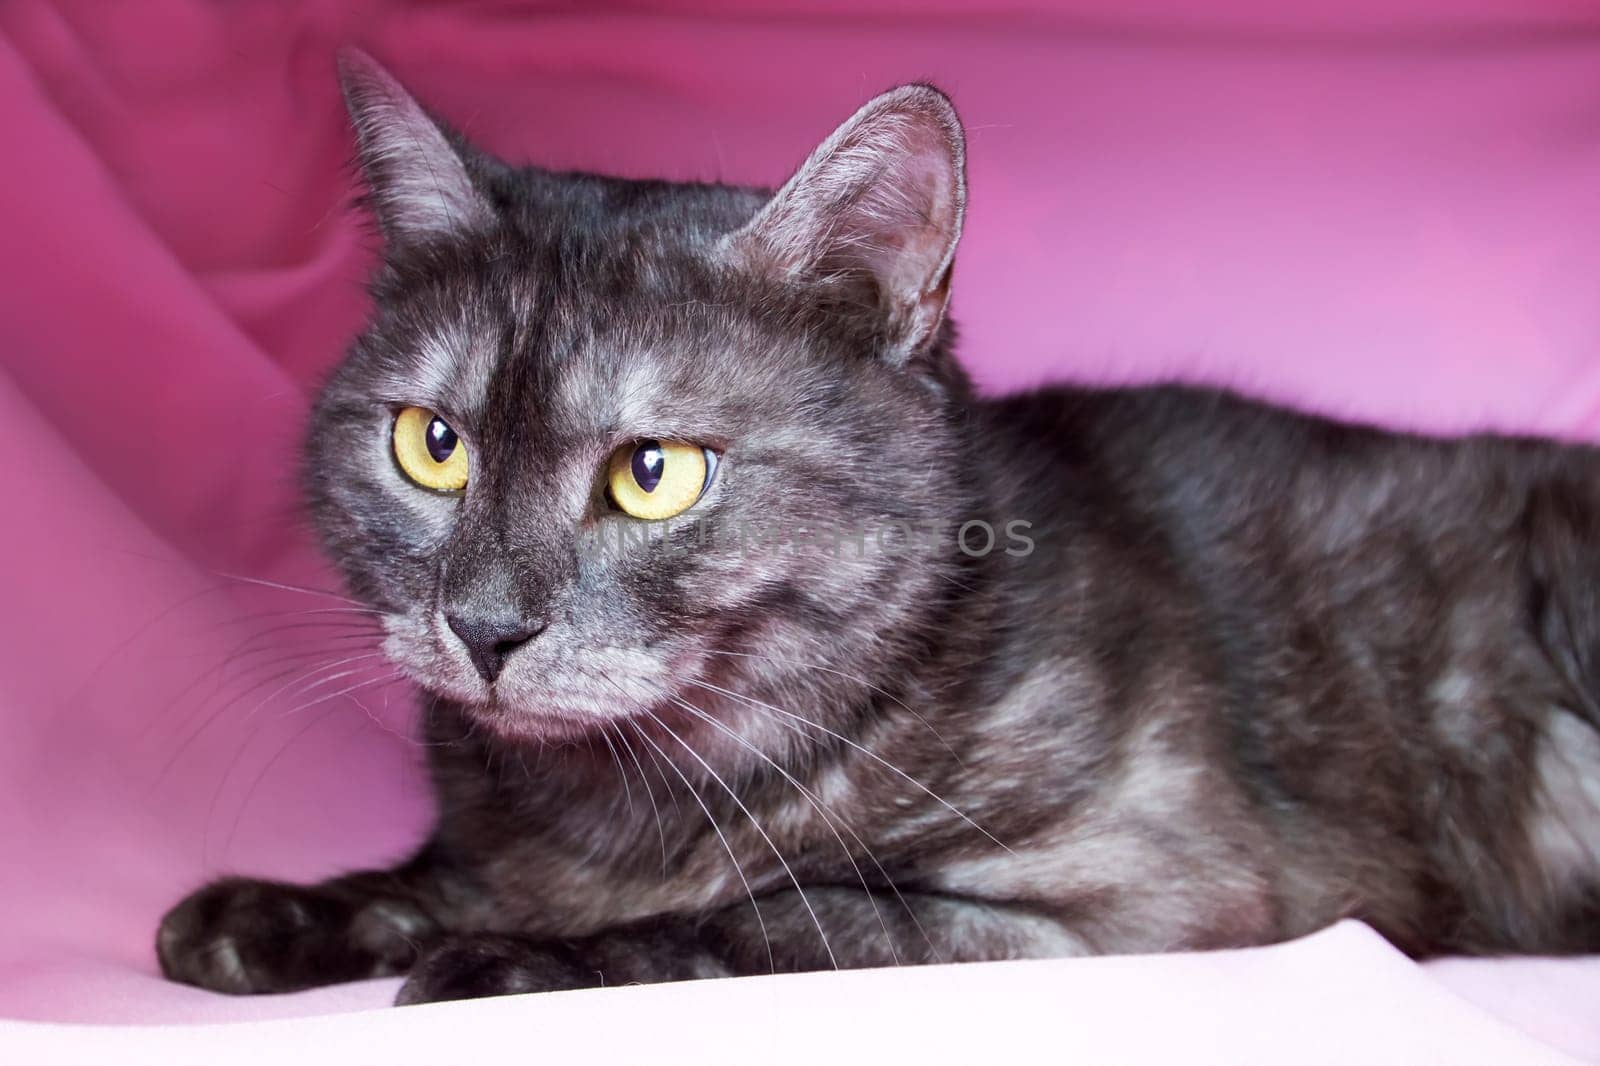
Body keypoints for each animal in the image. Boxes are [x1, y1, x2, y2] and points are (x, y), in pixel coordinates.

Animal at [156, 47, 1600, 998]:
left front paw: (512, 957)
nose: (484, 626)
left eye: (654, 472)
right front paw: (286, 911)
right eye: (431, 446)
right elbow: (449, 870)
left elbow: (788, 915)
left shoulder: (1152, 893)